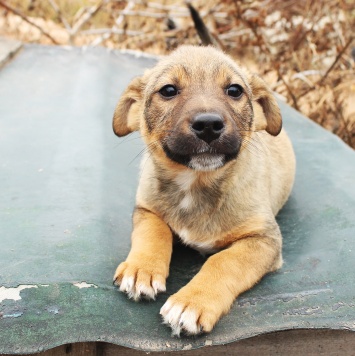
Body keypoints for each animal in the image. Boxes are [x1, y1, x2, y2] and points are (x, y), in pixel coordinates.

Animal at [112, 45, 296, 336]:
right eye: (168, 90)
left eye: (234, 90)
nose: (208, 125)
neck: (195, 184)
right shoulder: (146, 208)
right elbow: (154, 231)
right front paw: (141, 269)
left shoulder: (264, 239)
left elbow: (224, 261)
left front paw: (192, 302)